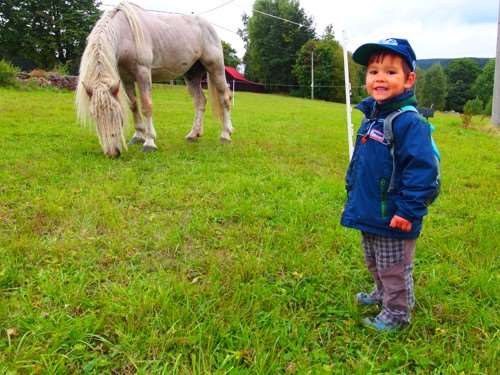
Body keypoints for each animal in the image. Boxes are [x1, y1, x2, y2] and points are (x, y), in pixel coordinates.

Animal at [75, 1, 233, 157]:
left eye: (117, 113)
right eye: (94, 115)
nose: (112, 152)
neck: (124, 32)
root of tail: (208, 26)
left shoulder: (143, 73)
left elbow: (146, 106)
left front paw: (149, 143)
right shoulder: (126, 78)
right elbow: (133, 105)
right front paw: (138, 136)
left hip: (215, 68)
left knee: (224, 98)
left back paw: (225, 135)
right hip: (192, 75)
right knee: (200, 101)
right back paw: (193, 135)